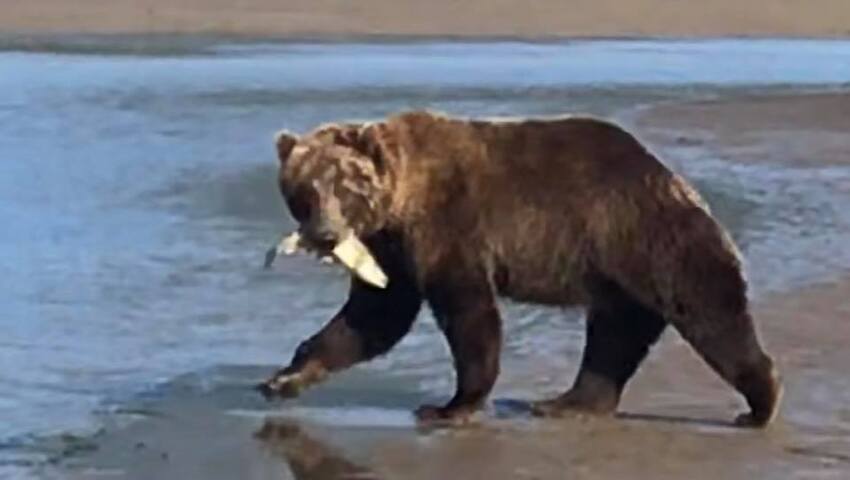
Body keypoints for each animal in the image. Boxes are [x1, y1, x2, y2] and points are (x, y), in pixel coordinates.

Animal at [258, 109, 780, 428]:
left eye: (344, 186)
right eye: (304, 190)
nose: (326, 235)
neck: (402, 199)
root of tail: (674, 178)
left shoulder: (450, 227)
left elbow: (467, 314)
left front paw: (450, 405)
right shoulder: (393, 249)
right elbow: (372, 316)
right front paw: (284, 378)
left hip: (650, 239)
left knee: (712, 315)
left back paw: (760, 403)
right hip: (619, 273)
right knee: (614, 337)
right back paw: (567, 402)